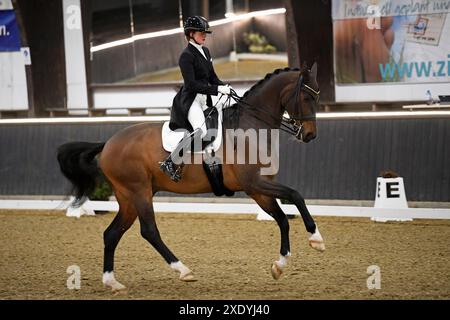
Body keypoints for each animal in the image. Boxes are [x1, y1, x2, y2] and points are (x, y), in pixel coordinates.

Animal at [57, 62, 324, 292]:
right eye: (307, 97)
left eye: (318, 97)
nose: (310, 135)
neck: (251, 126)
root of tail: (109, 143)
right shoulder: (254, 183)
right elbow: (295, 195)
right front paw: (316, 239)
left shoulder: (259, 189)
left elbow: (282, 219)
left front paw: (279, 265)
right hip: (138, 192)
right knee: (149, 231)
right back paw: (183, 270)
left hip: (128, 197)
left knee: (112, 233)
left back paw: (112, 282)